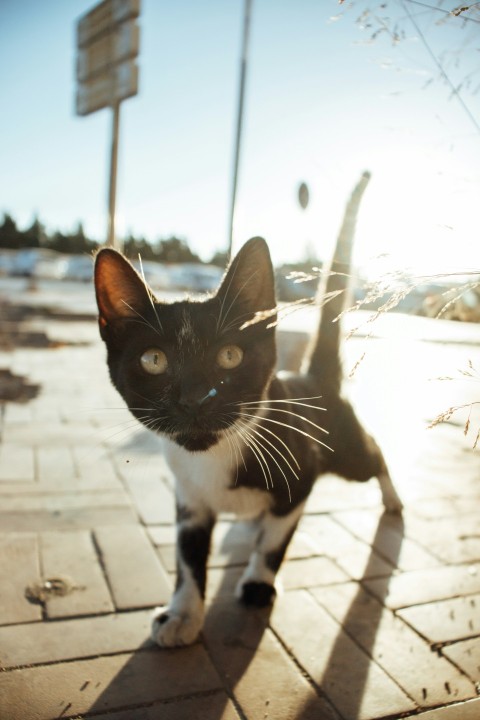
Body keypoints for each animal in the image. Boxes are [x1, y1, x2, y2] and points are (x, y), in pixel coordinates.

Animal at [94, 173, 402, 648]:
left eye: (230, 356)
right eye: (153, 360)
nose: (194, 397)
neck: (214, 457)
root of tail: (316, 378)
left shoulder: (302, 476)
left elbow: (275, 540)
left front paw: (259, 581)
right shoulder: (188, 500)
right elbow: (187, 558)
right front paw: (182, 613)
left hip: (349, 453)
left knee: (375, 454)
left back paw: (392, 499)